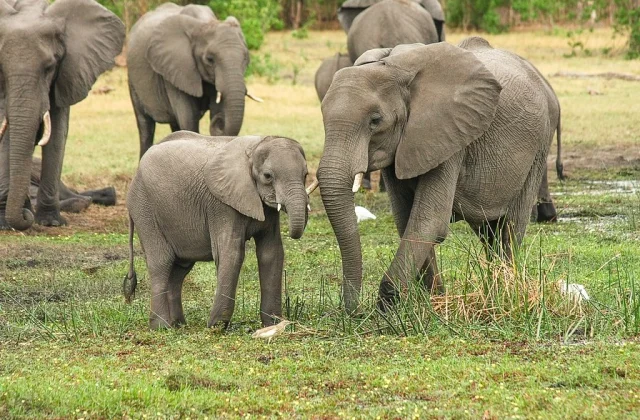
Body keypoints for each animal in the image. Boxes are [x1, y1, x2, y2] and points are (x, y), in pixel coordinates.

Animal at [0, 0, 125, 231]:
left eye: (49, 67)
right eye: (1, 68)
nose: (24, 217)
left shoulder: (66, 73)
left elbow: (57, 133)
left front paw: (50, 222)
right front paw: (4, 222)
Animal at [123, 132, 314, 329]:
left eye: (305, 174)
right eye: (267, 176)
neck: (254, 148)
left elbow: (271, 253)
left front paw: (273, 324)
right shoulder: (221, 205)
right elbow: (231, 253)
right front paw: (216, 326)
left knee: (179, 269)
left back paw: (179, 325)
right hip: (144, 208)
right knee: (161, 262)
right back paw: (161, 327)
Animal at [127, 3, 260, 159]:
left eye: (246, 58)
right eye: (210, 59)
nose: (219, 121)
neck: (204, 23)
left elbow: (215, 109)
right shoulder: (176, 68)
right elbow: (188, 118)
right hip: (133, 80)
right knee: (145, 126)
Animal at [317, 38, 562, 312]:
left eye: (375, 120)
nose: (355, 312)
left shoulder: (449, 136)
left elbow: (429, 221)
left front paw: (388, 308)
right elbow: (406, 219)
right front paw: (432, 301)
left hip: (539, 145)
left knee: (511, 225)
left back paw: (505, 292)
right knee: (489, 231)